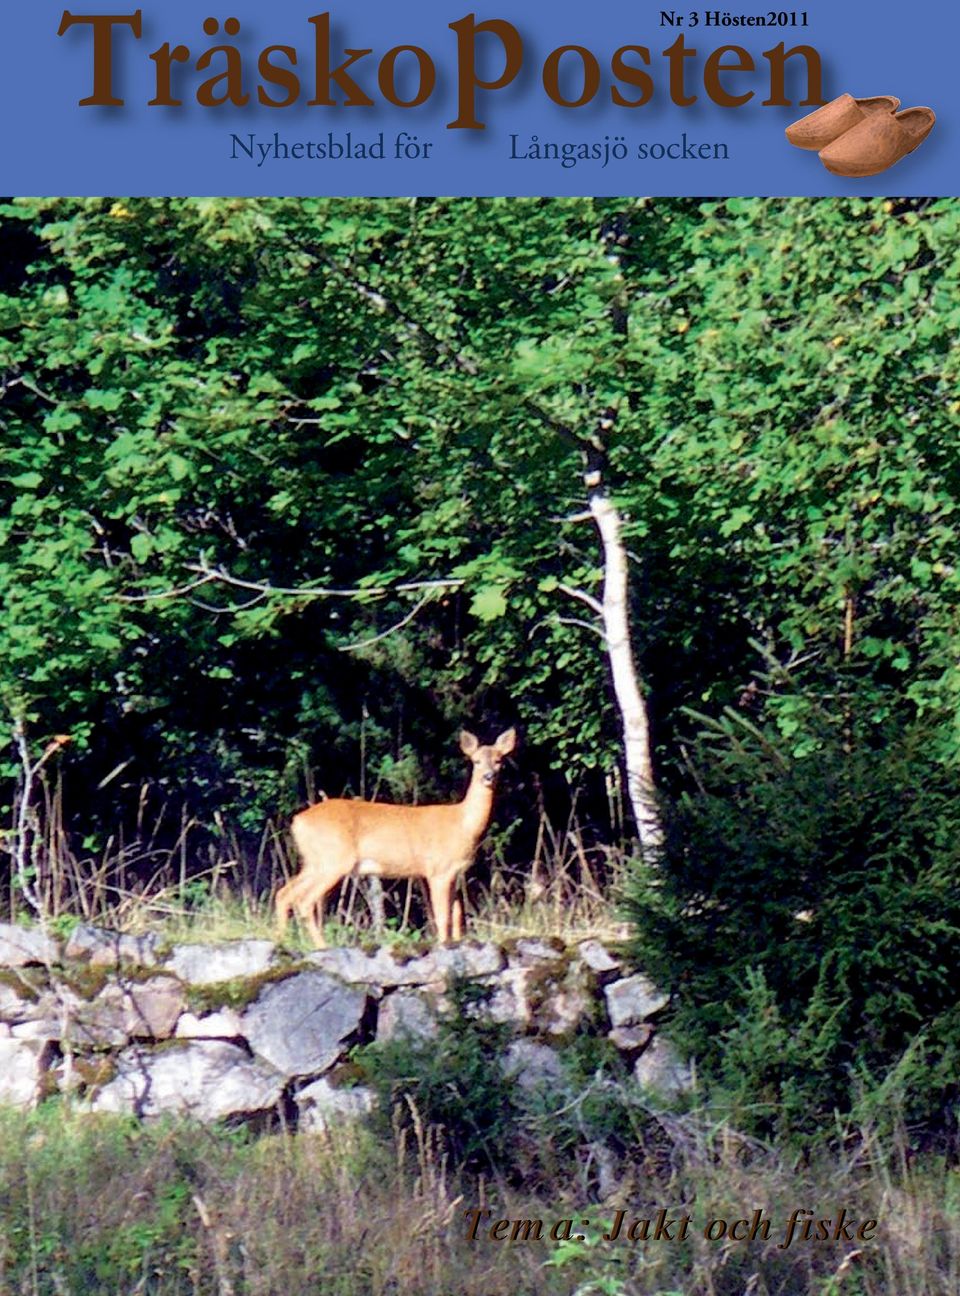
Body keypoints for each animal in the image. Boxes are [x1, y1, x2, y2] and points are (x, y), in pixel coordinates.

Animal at [277, 730, 515, 953]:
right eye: (476, 761)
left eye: (499, 760)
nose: (488, 776)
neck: (462, 824)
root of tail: (298, 821)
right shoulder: (438, 870)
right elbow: (442, 916)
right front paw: (443, 945)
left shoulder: (456, 874)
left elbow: (456, 915)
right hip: (334, 859)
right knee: (304, 900)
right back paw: (320, 946)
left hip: (314, 861)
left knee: (284, 893)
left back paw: (281, 941)